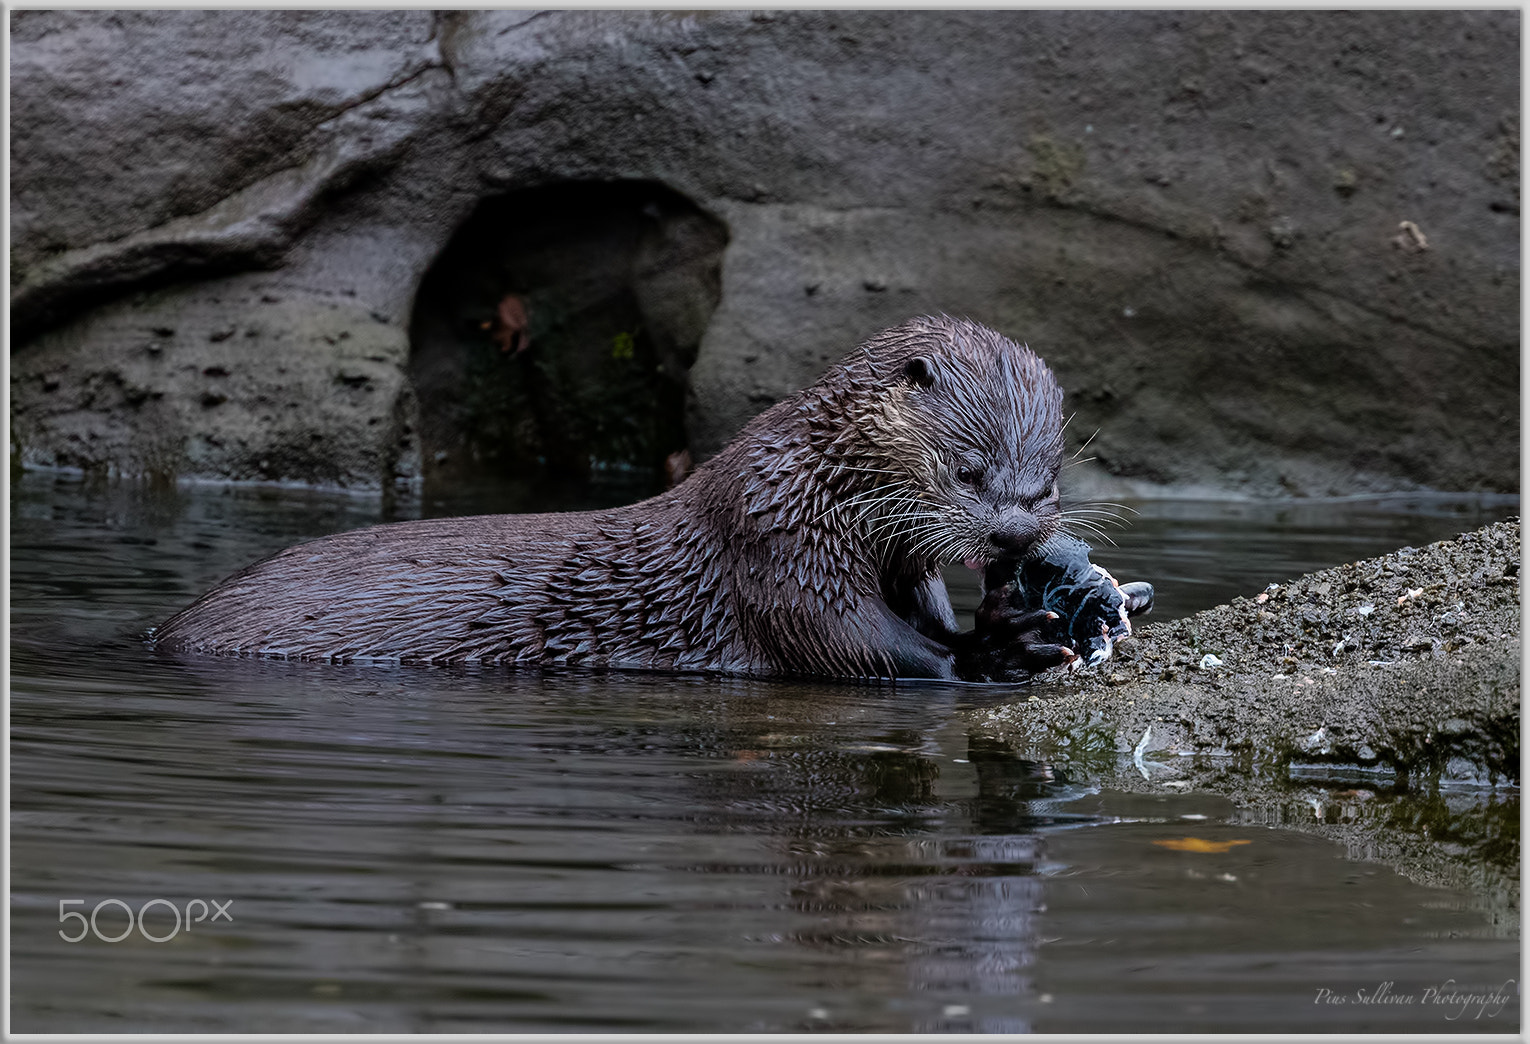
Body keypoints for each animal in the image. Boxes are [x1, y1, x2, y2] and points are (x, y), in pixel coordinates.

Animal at [158, 313, 1150, 679]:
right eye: (970, 471)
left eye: (1048, 482)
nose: (1016, 534)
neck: (820, 485)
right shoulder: (775, 544)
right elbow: (858, 647)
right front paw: (1001, 650)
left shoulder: (891, 562)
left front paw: (1037, 613)